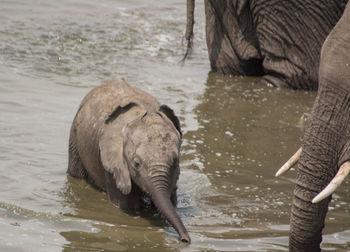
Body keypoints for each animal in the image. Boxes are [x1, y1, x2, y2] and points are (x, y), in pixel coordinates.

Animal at [67, 79, 190, 242]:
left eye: (175, 163)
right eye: (136, 164)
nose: (185, 240)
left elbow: (170, 200)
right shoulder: (113, 165)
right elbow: (126, 205)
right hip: (75, 136)